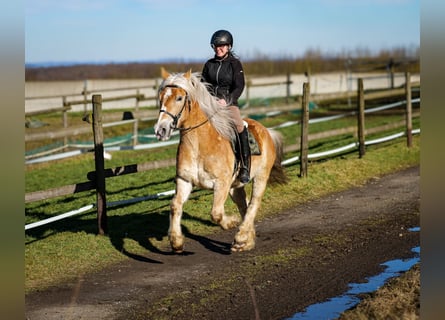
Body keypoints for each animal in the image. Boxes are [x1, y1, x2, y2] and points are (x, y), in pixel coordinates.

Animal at [154, 68, 288, 252]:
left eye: (179, 98)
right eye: (160, 97)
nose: (161, 130)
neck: (199, 145)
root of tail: (267, 131)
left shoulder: (221, 184)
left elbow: (216, 213)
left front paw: (231, 223)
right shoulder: (184, 180)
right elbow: (175, 205)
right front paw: (176, 241)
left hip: (260, 177)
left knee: (253, 203)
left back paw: (241, 237)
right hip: (235, 186)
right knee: (244, 205)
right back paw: (246, 241)